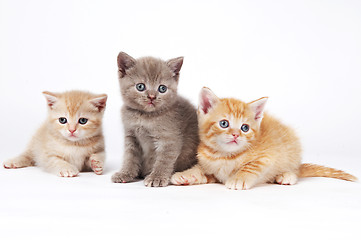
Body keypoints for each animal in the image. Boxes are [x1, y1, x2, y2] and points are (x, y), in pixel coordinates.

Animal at [111, 52, 198, 188]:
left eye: (162, 88)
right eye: (140, 86)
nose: (152, 97)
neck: (144, 116)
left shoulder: (169, 139)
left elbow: (164, 160)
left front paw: (157, 177)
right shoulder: (131, 137)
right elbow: (130, 158)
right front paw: (125, 173)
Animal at [170, 87, 356, 190]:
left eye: (245, 128)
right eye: (224, 123)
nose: (236, 134)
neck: (224, 156)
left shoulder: (267, 157)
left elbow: (251, 166)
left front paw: (238, 179)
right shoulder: (210, 168)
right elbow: (200, 170)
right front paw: (186, 175)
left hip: (291, 152)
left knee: (295, 170)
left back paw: (286, 175)